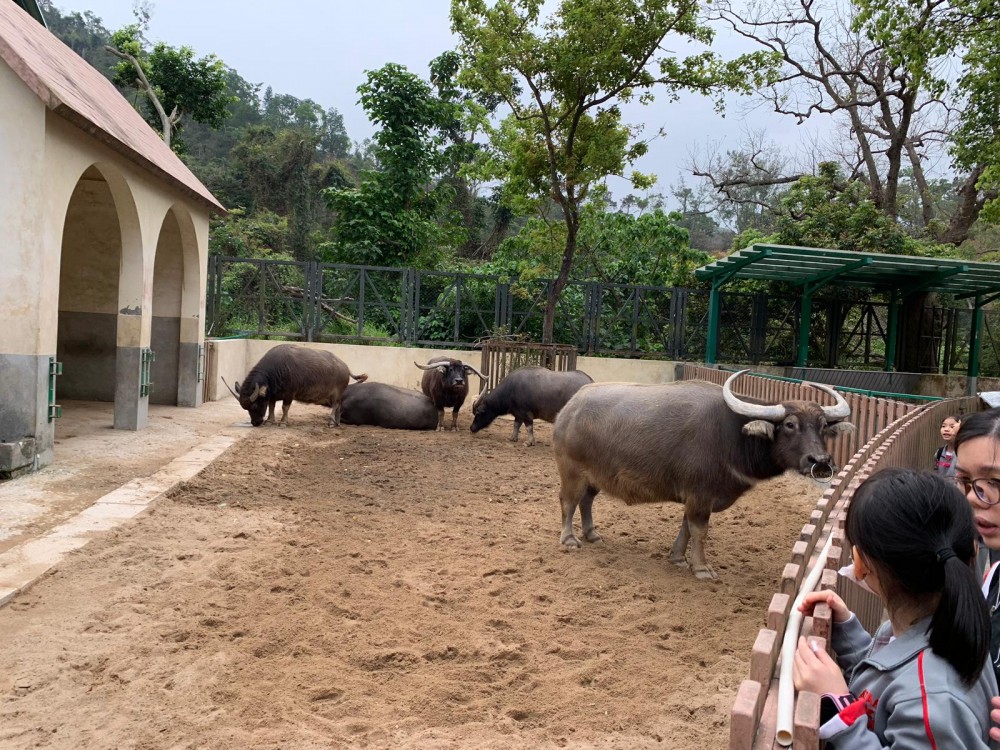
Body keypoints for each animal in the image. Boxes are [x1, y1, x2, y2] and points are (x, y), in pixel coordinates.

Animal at [227, 344, 367, 427]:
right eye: (245, 408)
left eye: (254, 406)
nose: (255, 423)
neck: (277, 370)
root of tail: (346, 368)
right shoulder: (273, 395)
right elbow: (271, 407)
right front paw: (270, 421)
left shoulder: (289, 394)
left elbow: (284, 408)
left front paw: (283, 422)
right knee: (339, 407)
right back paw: (337, 423)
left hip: (336, 394)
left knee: (335, 406)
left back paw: (331, 422)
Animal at [552, 370, 853, 580]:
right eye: (790, 424)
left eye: (823, 425)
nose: (820, 461)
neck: (733, 437)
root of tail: (570, 408)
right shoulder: (700, 495)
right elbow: (699, 529)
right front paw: (701, 567)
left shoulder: (696, 497)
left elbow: (686, 526)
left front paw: (677, 558)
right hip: (572, 471)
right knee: (568, 501)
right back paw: (569, 539)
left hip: (595, 477)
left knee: (586, 501)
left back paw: (592, 534)